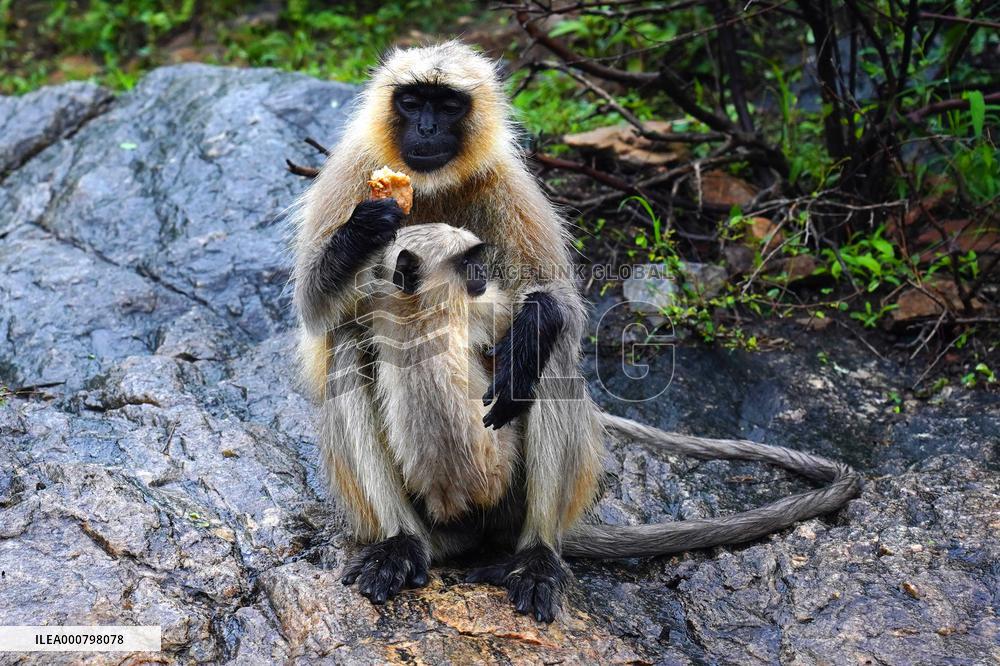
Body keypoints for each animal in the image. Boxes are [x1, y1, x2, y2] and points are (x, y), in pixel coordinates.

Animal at [290, 42, 861, 622]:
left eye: (446, 105)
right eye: (411, 101)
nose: (426, 127)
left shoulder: (505, 181)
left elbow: (557, 304)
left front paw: (533, 326)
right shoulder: (353, 170)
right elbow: (314, 307)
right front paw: (366, 227)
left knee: (552, 356)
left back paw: (536, 555)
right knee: (346, 342)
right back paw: (403, 544)